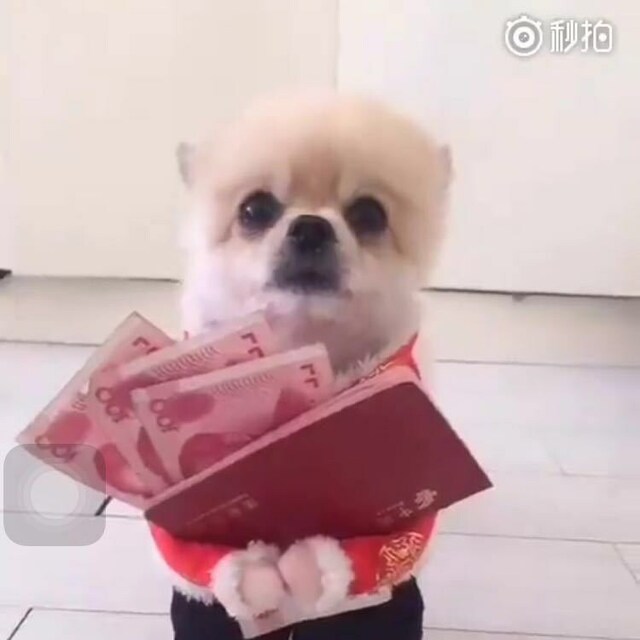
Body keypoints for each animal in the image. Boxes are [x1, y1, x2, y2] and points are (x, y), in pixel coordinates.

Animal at [165, 91, 452, 640]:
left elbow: (382, 545)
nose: (311, 226)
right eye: (255, 209)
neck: (306, 342)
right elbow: (192, 554)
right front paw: (255, 578)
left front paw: (308, 569)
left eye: (369, 214)